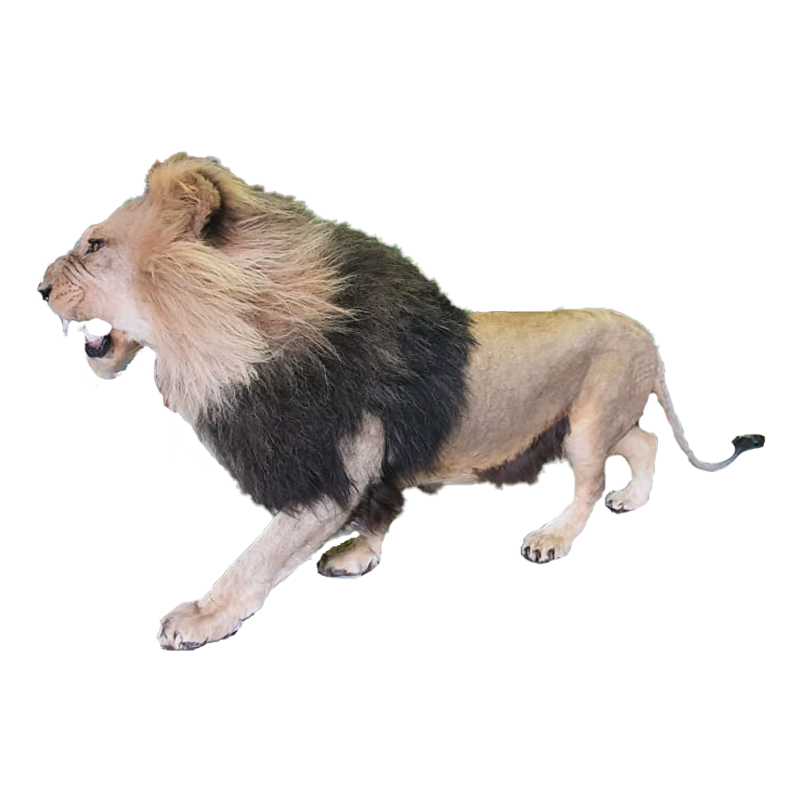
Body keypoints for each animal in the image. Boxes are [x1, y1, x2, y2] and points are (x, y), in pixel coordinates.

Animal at [39, 154, 755, 650]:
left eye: (95, 245)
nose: (41, 285)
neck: (237, 336)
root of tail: (642, 332)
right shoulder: (364, 469)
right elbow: (374, 512)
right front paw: (359, 557)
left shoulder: (331, 472)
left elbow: (255, 561)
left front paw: (200, 618)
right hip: (586, 422)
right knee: (642, 439)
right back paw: (632, 497)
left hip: (585, 423)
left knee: (591, 481)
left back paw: (554, 536)